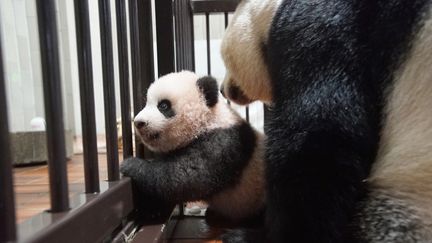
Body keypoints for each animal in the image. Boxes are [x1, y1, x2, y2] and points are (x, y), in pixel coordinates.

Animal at [120, 70, 264, 222]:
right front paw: (151, 209)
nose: (138, 123)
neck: (207, 119)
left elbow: (184, 177)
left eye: (163, 105)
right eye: (147, 103)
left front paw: (130, 165)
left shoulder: (221, 143)